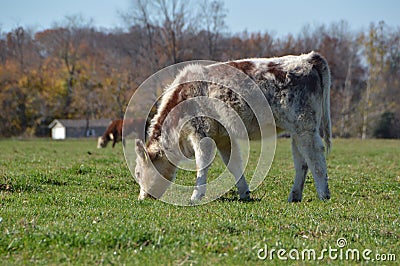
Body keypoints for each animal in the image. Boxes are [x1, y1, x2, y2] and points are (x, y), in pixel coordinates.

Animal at [134, 51, 332, 202]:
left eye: (137, 173)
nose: (142, 198)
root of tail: (307, 58)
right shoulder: (223, 137)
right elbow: (234, 164)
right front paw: (244, 193)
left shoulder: (200, 132)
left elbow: (202, 164)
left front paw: (196, 196)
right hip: (297, 130)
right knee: (301, 161)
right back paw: (295, 195)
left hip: (304, 125)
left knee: (314, 156)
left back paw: (323, 194)